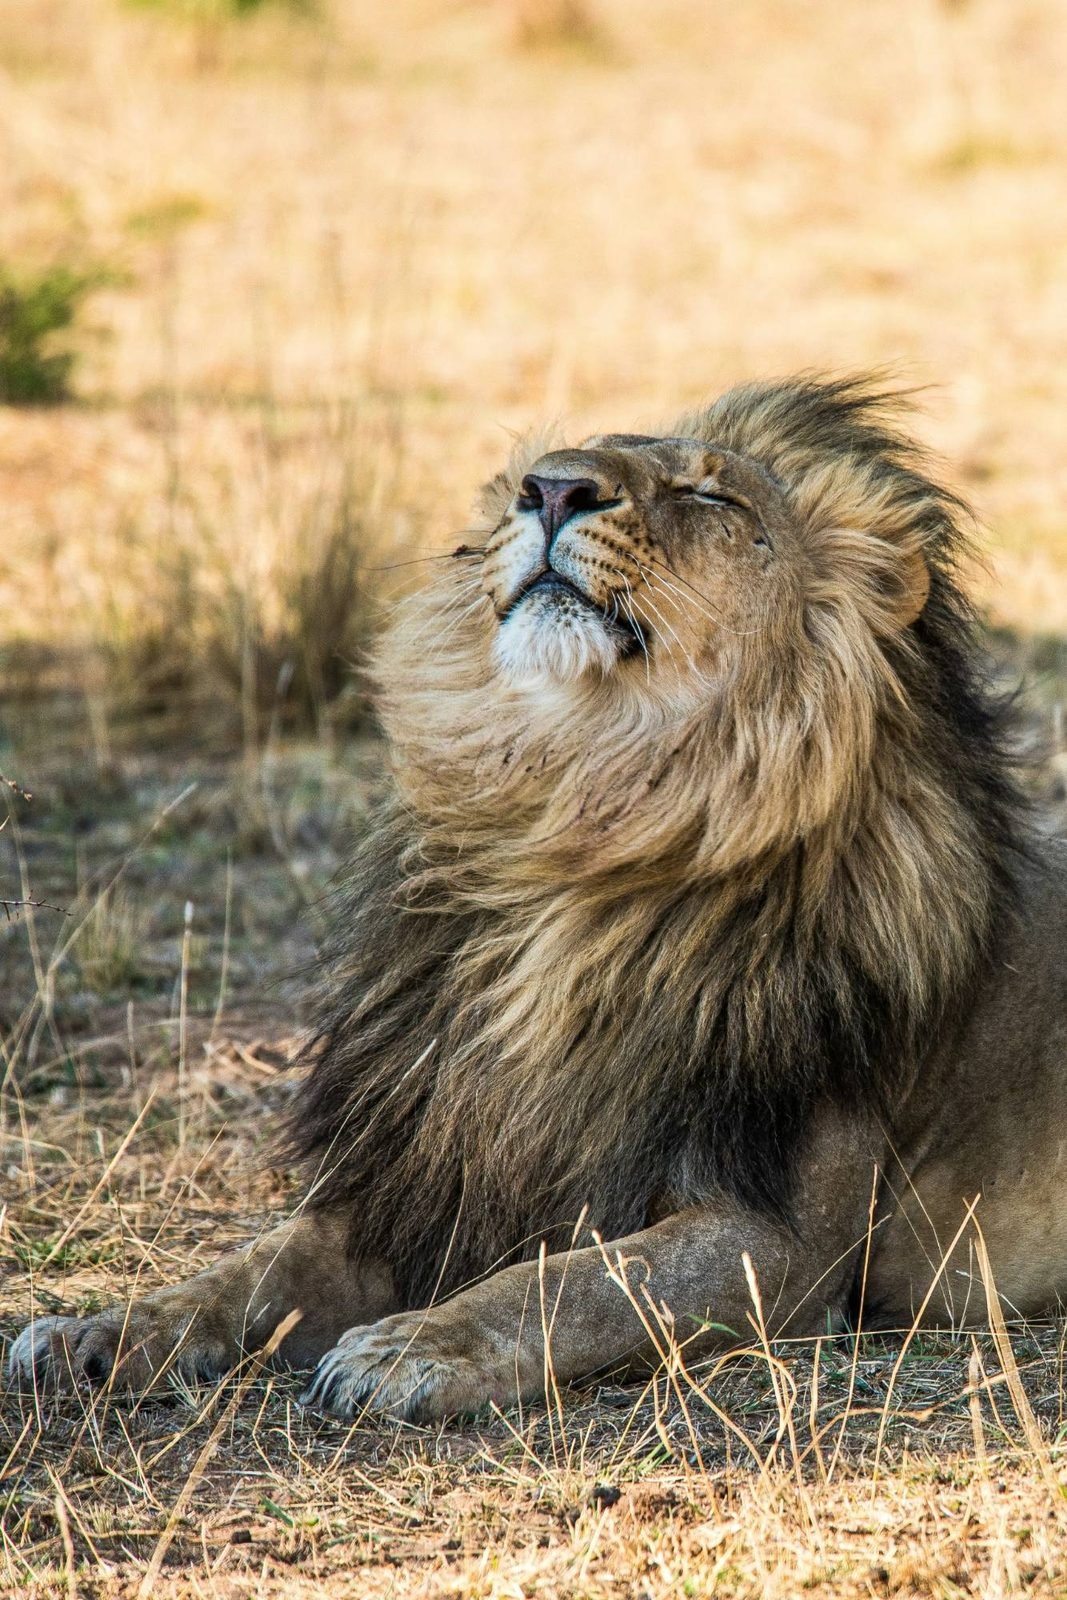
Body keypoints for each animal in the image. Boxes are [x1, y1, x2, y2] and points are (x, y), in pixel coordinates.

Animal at [10, 374, 1065, 1424]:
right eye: (541, 472)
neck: (576, 828)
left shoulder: (782, 1241)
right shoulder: (419, 1173)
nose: (553, 489)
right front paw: (97, 1330)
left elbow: (569, 1283)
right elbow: (243, 1272)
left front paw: (410, 1347)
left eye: (711, 496)